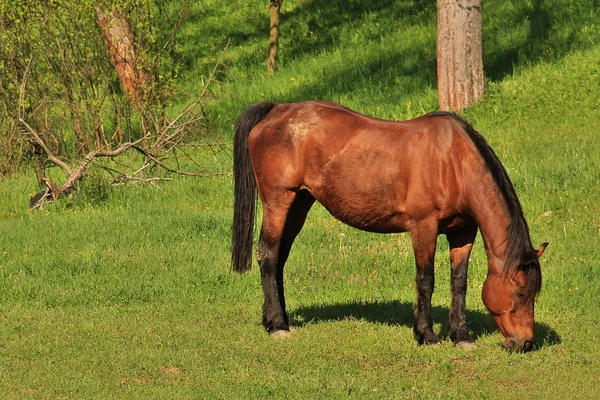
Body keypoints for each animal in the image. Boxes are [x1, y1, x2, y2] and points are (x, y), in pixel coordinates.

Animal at [231, 101, 548, 354]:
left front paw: (461, 335)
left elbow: (459, 282)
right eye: (521, 293)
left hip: (299, 203)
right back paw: (277, 326)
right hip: (278, 201)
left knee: (279, 259)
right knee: (268, 255)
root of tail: (275, 110)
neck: (453, 161)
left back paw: (277, 319)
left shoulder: (463, 232)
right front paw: (426, 335)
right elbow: (426, 280)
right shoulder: (424, 228)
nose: (524, 343)